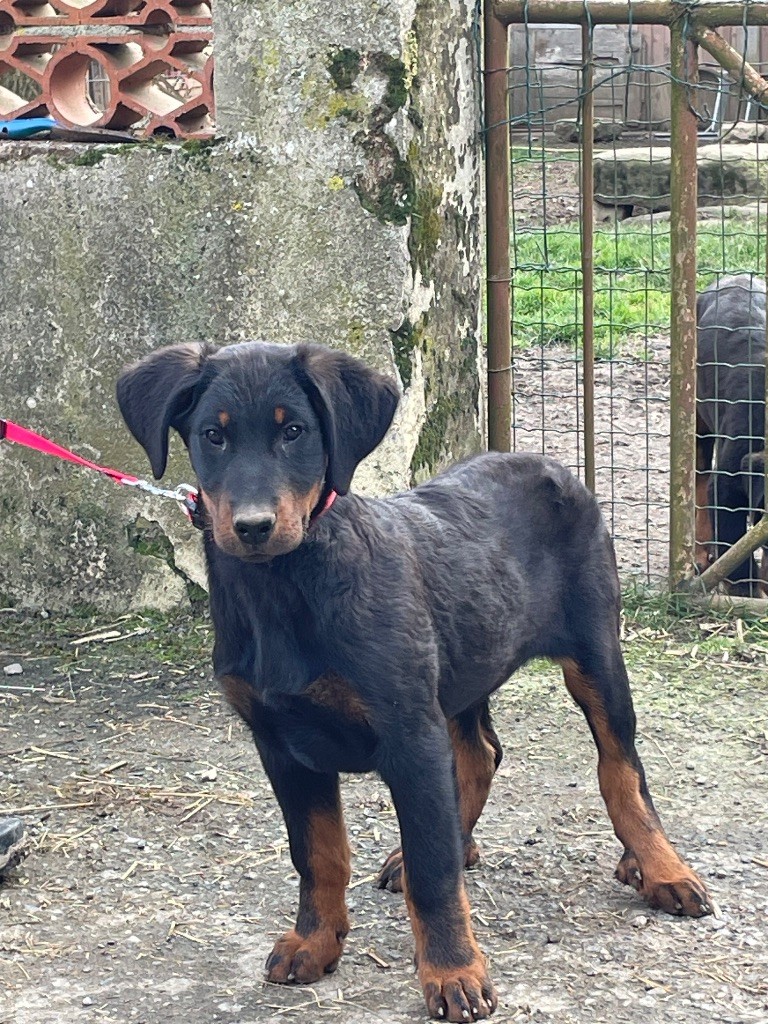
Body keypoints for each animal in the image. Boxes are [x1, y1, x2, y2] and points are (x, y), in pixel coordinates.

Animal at [117, 339, 712, 1019]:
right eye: (212, 437)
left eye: (294, 431)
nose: (252, 527)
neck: (288, 587)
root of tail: (548, 462)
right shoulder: (281, 745)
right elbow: (317, 854)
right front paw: (314, 942)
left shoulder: (409, 732)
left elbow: (433, 873)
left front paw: (453, 973)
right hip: (463, 663)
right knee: (479, 754)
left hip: (595, 655)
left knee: (621, 768)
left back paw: (659, 868)